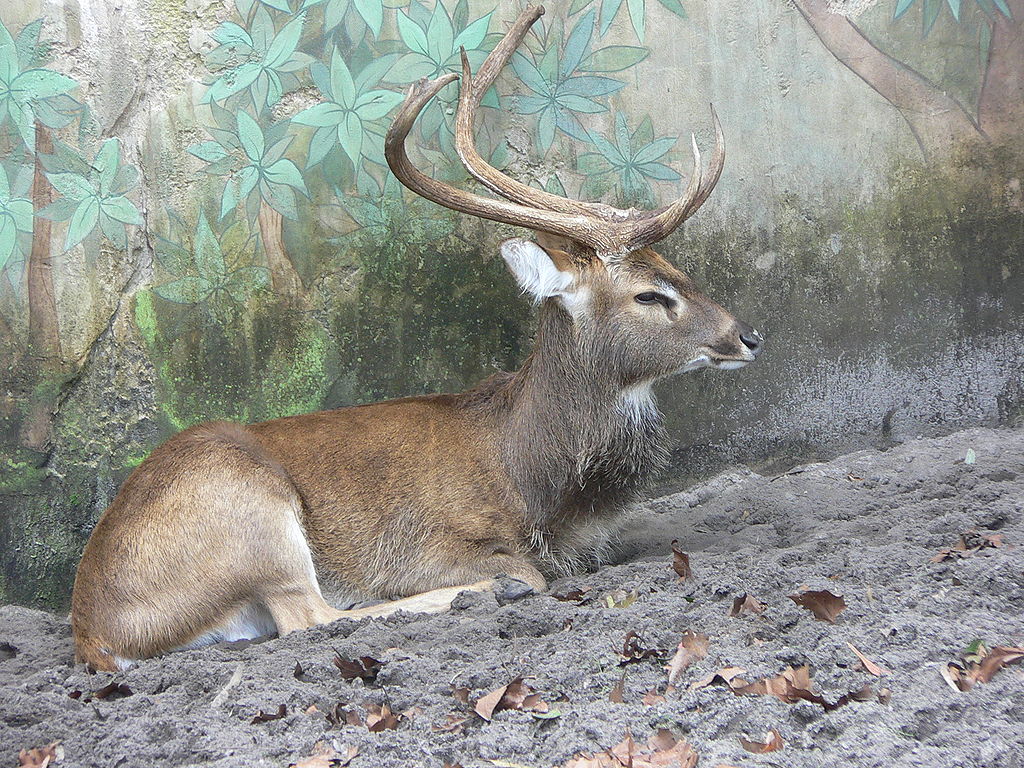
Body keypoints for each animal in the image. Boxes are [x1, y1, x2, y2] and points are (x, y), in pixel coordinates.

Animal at [72, 3, 761, 671]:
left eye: (677, 269)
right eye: (649, 295)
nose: (749, 334)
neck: (536, 484)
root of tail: (96, 632)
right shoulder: (430, 541)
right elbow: (523, 572)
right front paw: (496, 581)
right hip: (248, 505)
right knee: (310, 617)